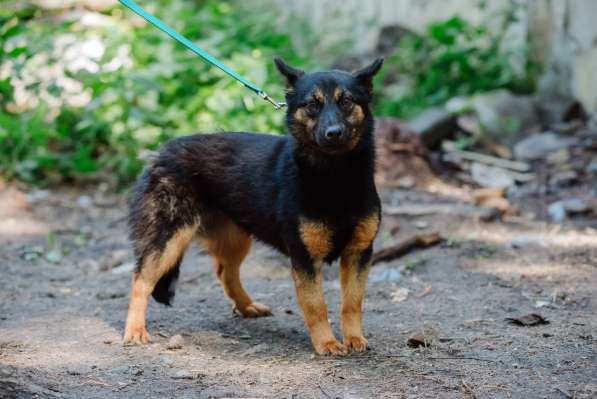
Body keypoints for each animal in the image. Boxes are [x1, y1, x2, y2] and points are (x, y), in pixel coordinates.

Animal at [123, 57, 384, 356]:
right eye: (312, 104)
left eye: (347, 101)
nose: (333, 133)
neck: (335, 177)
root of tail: (159, 153)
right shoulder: (304, 259)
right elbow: (316, 306)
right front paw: (326, 342)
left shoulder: (358, 253)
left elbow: (352, 302)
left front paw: (353, 338)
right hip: (168, 241)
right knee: (141, 280)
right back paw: (135, 330)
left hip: (236, 239)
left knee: (226, 272)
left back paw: (246, 306)